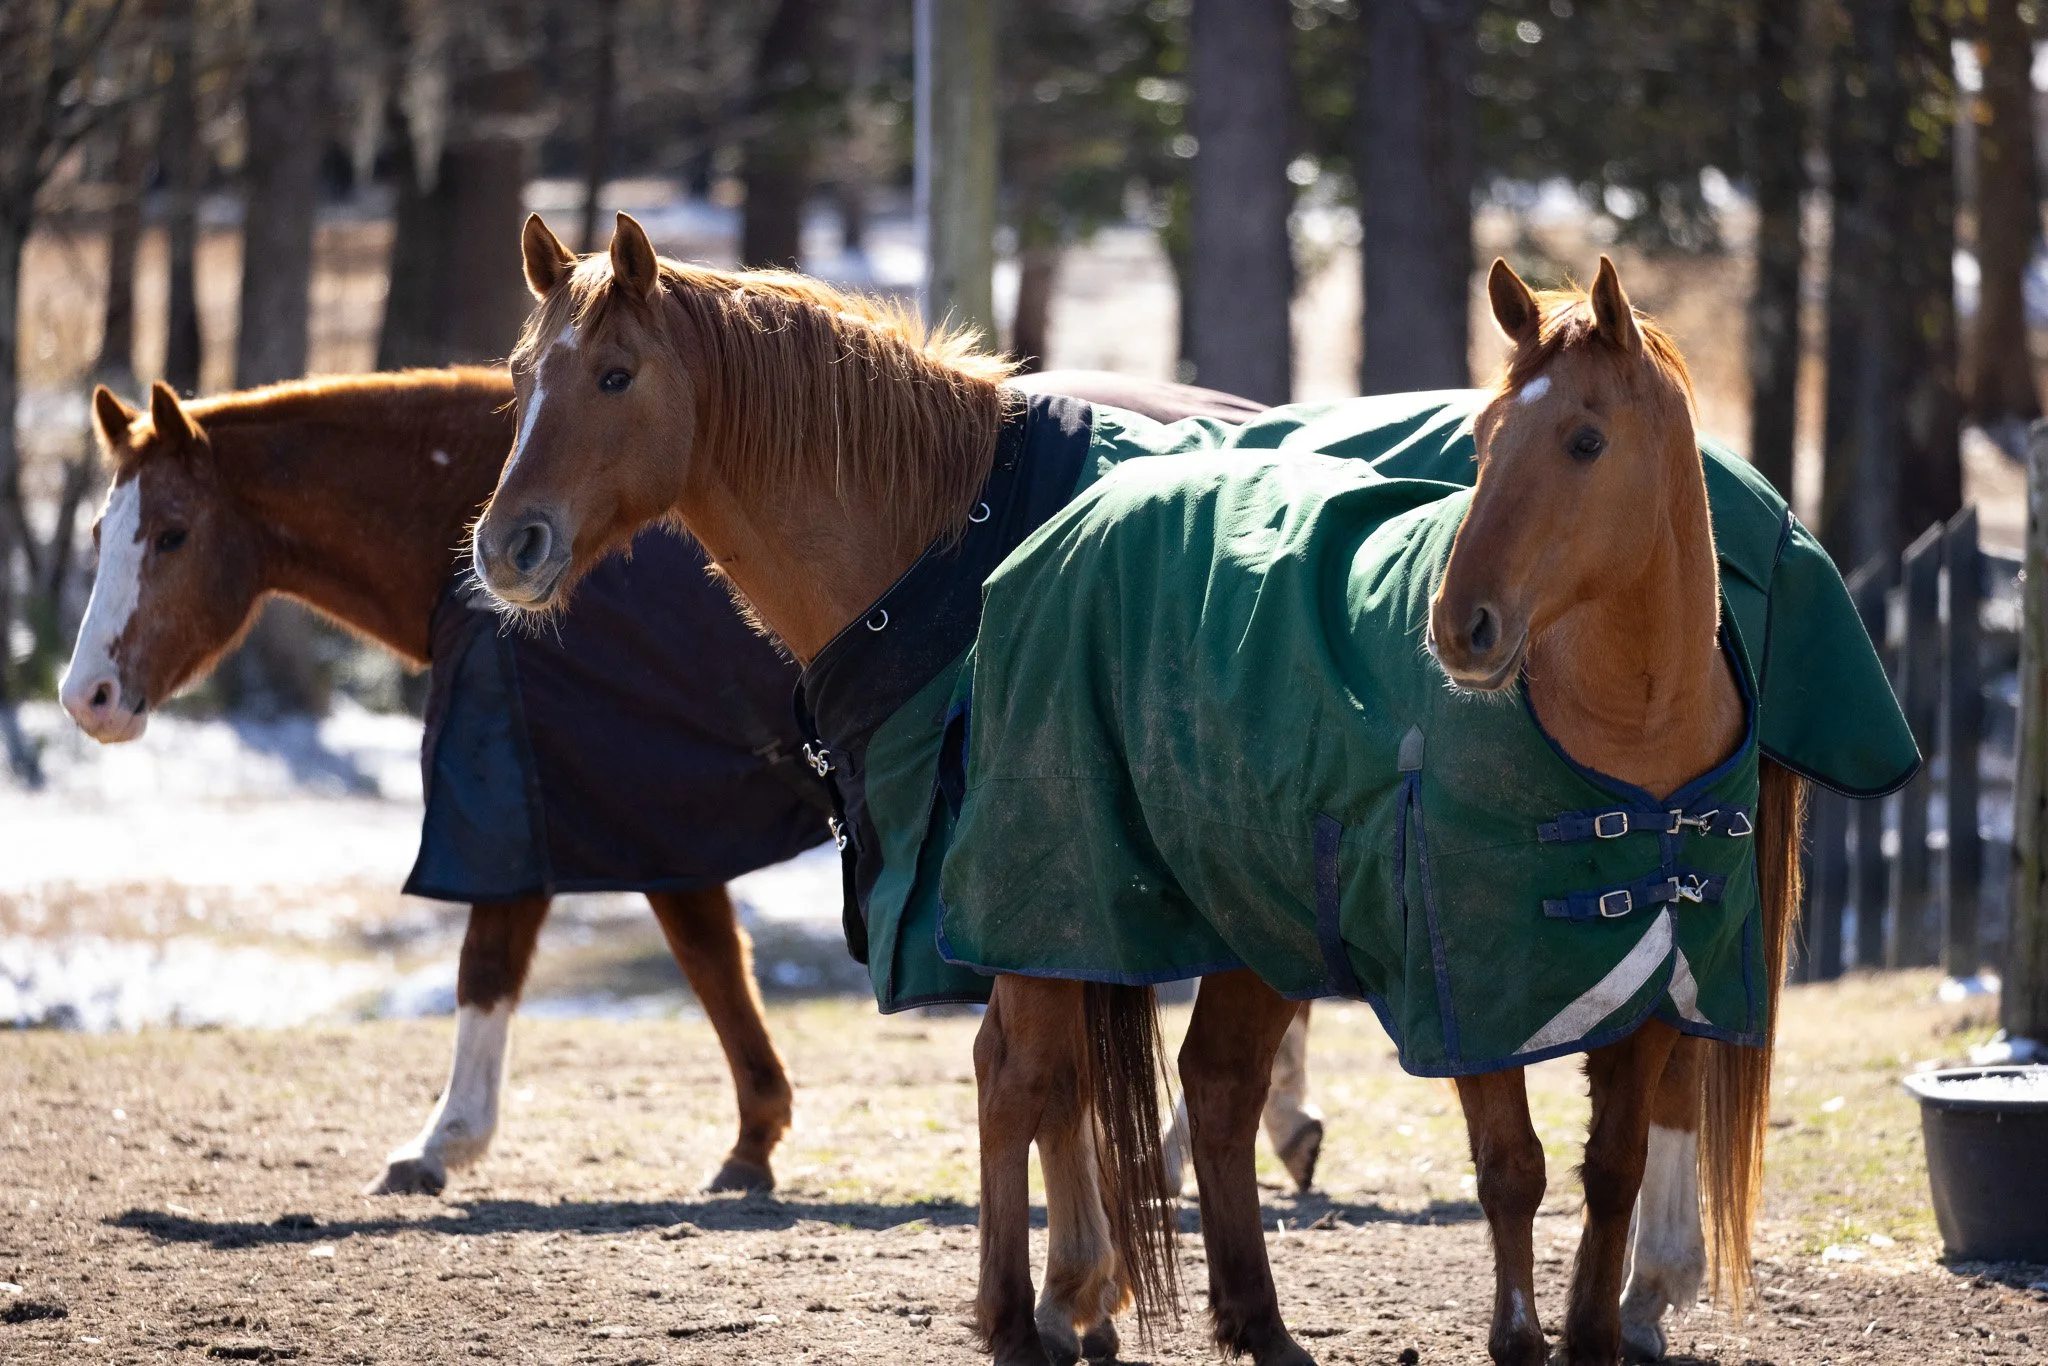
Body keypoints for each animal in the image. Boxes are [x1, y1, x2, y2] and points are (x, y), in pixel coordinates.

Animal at [55, 362, 1325, 1208]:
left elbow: (494, 961)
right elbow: (715, 967)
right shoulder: (651, 817)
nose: (86, 695)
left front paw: (445, 1137)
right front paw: (754, 1138)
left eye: (171, 532)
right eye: (103, 532)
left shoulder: (552, 792)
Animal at [465, 214, 1887, 1364]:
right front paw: (1076, 1299)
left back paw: (1640, 1293)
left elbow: (1033, 1076)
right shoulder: (1076, 891)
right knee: (1223, 1082)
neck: (951, 539)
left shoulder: (1029, 875)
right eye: (521, 378)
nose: (509, 544)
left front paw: (1058, 1302)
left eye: (614, 374)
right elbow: (1064, 1084)